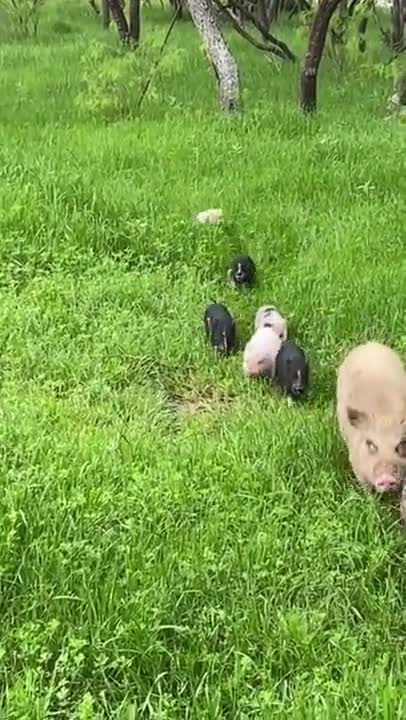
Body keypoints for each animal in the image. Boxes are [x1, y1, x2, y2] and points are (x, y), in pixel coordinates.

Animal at [336, 341, 406, 494]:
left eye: (401, 444)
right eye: (370, 444)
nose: (387, 478)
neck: (384, 415)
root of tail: (370, 344)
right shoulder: (356, 464)